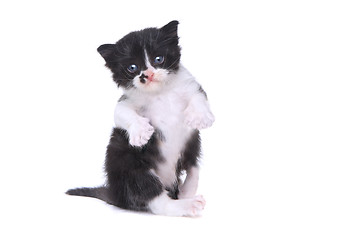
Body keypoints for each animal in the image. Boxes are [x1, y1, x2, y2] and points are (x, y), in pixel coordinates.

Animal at [67, 20, 214, 216]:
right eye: (132, 68)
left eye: (158, 59)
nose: (147, 75)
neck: (160, 93)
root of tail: (116, 195)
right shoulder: (127, 101)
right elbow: (121, 112)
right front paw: (141, 132)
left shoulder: (190, 86)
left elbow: (198, 96)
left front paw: (201, 117)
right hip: (125, 163)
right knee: (155, 199)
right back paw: (186, 205)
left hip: (192, 145)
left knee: (193, 166)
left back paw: (186, 193)